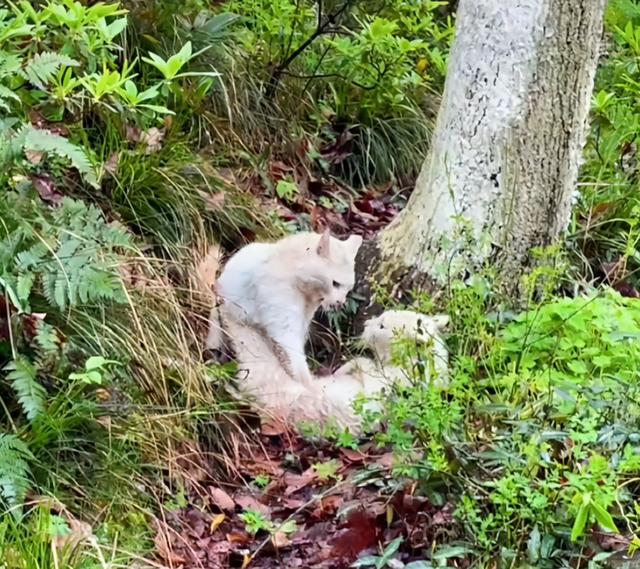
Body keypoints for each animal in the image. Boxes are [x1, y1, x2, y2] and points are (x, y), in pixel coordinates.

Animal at [208, 229, 362, 384]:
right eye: (335, 283)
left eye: (348, 288)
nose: (340, 302)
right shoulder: (284, 326)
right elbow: (297, 364)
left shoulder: (301, 323)